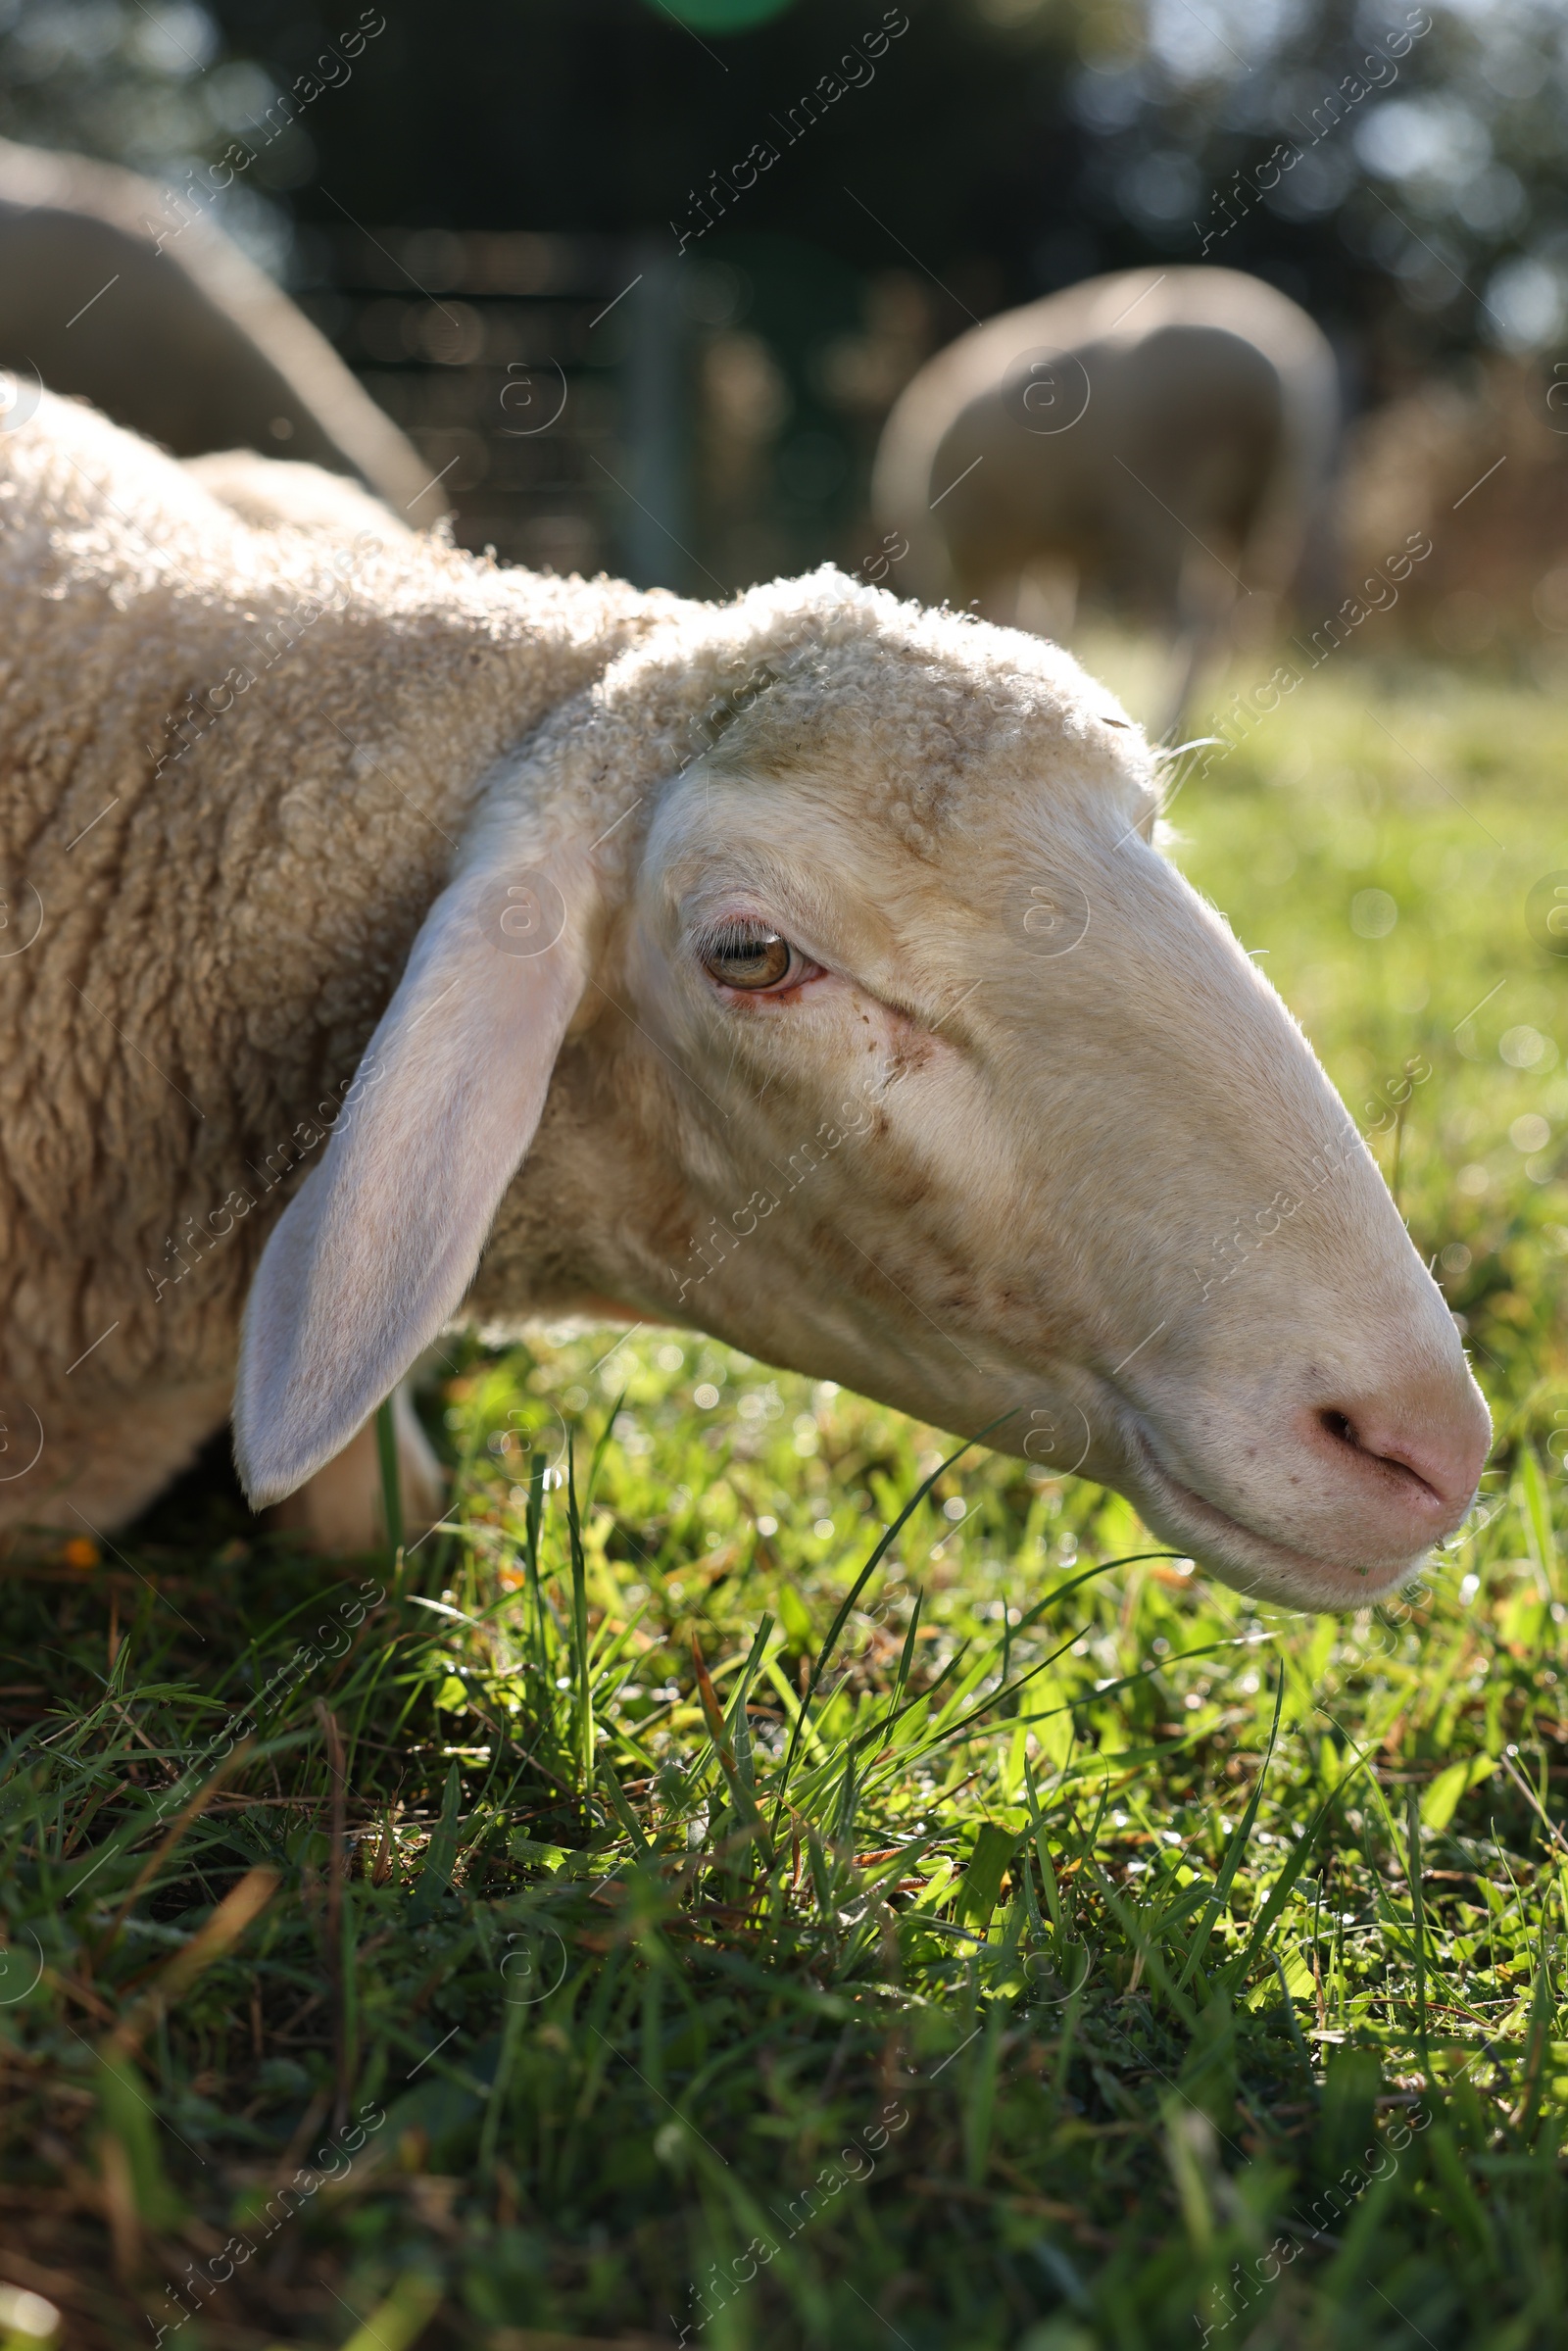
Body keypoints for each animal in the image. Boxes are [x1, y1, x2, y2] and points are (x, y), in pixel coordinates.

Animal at [869, 269, 1335, 686]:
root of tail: (1270, 371)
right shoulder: (1058, 547)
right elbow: (1056, 621)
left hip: (1162, 496)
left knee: (1192, 626)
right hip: (1266, 507)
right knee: (1231, 622)